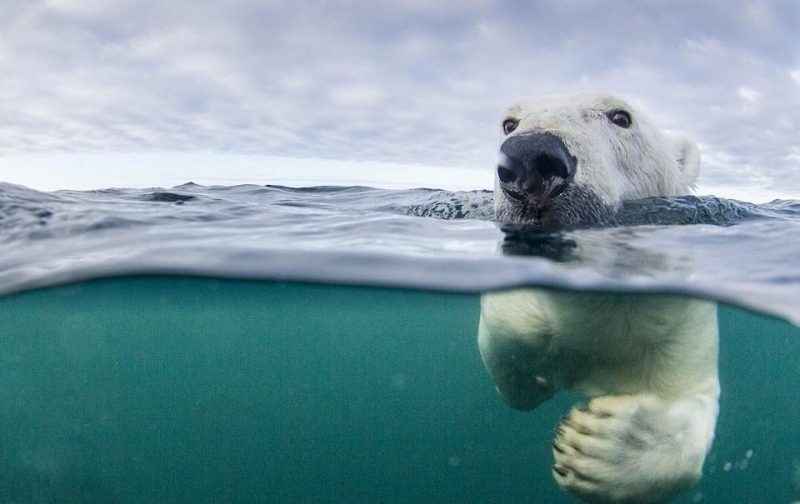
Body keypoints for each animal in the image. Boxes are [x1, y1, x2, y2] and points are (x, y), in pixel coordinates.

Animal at [479, 92, 719, 504]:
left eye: (620, 117)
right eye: (509, 123)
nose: (530, 157)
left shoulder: (681, 322)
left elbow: (692, 397)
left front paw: (596, 447)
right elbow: (506, 333)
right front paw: (535, 381)